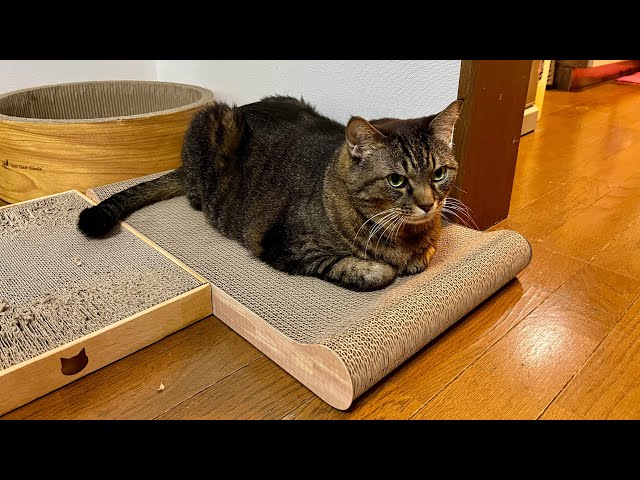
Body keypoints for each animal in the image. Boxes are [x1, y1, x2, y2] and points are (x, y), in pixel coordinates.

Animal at [78, 95, 463, 292]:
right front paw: (384, 267)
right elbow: (369, 270)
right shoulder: (286, 245)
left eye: (439, 173)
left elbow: (425, 253)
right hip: (214, 120)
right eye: (396, 180)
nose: (429, 204)